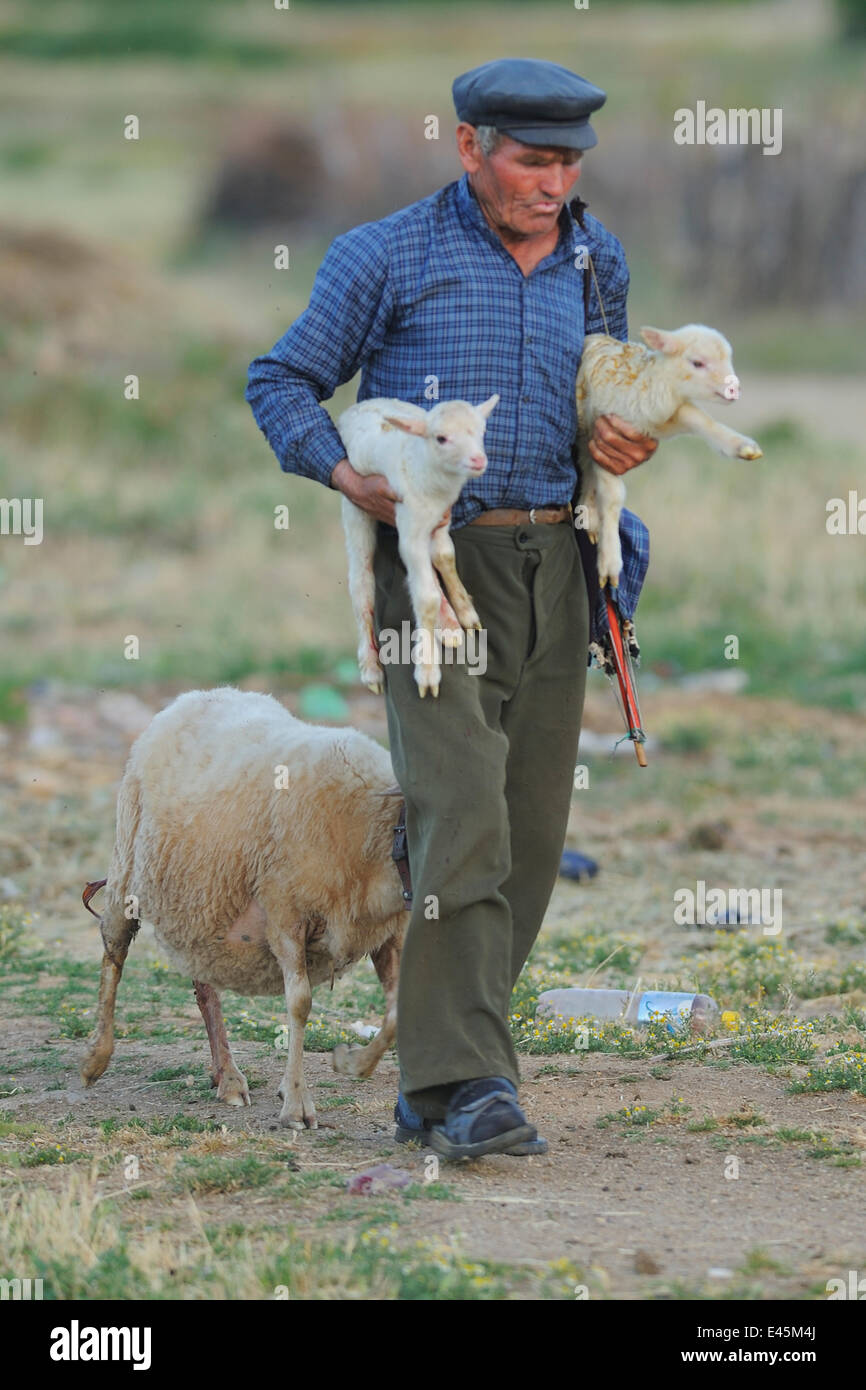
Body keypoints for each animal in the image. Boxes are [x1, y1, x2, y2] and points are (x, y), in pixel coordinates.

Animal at [79, 683, 408, 1128]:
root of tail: (200, 693)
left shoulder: (388, 930)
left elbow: (394, 1015)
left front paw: (350, 1064)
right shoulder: (286, 913)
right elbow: (300, 1004)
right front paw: (297, 1105)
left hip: (201, 900)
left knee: (204, 987)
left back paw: (227, 1076)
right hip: (127, 863)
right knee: (113, 948)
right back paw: (96, 1058)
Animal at [339, 391, 500, 695]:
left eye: (483, 431)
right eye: (441, 438)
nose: (478, 460)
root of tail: (360, 405)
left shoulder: (440, 519)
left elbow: (445, 557)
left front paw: (464, 611)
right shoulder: (410, 525)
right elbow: (425, 598)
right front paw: (427, 671)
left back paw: (449, 624)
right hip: (356, 506)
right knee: (361, 584)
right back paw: (371, 668)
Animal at [578, 323, 761, 586]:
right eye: (697, 363)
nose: (734, 389)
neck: (648, 384)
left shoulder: (666, 416)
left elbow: (699, 418)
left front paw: (741, 446)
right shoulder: (603, 434)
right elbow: (613, 497)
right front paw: (610, 562)